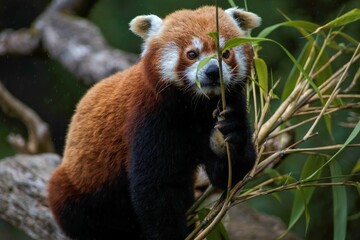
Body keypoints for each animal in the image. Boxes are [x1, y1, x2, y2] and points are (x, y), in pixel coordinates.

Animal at [48, 5, 262, 240]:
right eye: (192, 54)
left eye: (225, 53)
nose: (213, 71)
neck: (196, 107)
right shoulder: (150, 118)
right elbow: (156, 188)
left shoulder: (231, 104)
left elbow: (230, 173)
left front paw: (229, 137)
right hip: (78, 186)